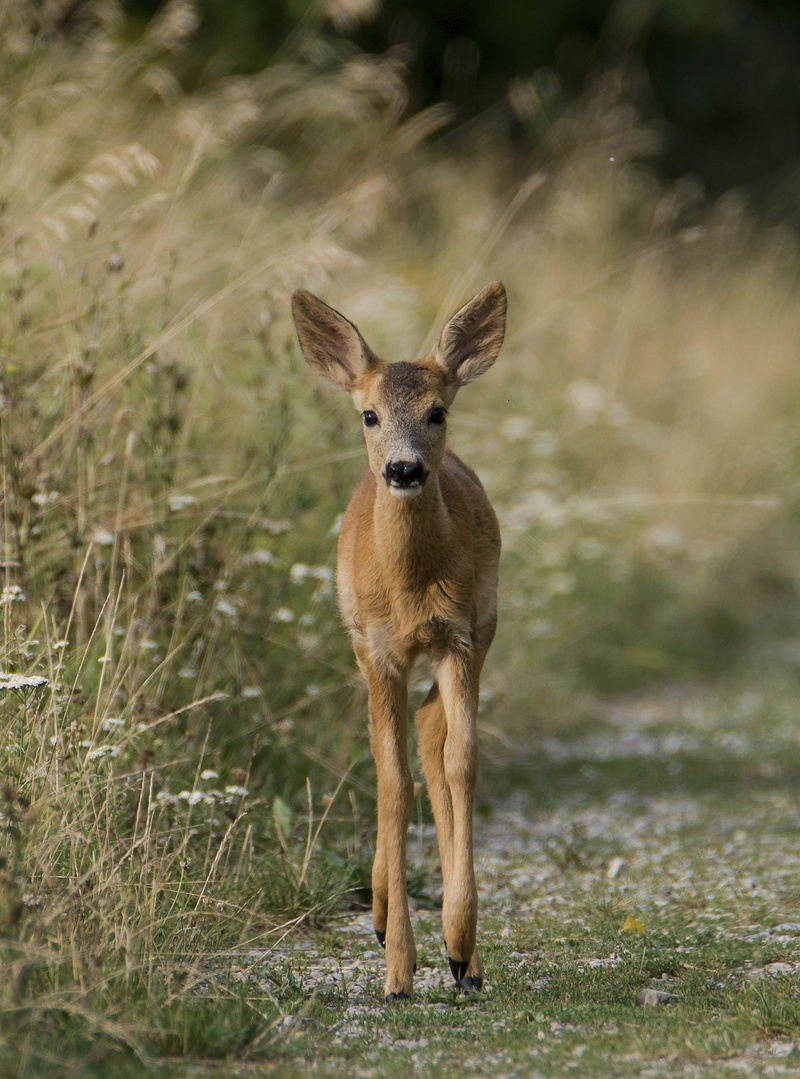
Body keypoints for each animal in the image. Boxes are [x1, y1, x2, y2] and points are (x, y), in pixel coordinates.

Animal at [291, 281, 506, 1002]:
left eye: (437, 411)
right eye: (369, 415)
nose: (405, 469)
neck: (411, 588)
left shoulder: (459, 638)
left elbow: (460, 762)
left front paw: (459, 943)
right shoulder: (380, 649)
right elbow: (391, 781)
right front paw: (397, 974)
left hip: (484, 629)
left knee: (433, 730)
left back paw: (464, 962)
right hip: (361, 644)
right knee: (395, 748)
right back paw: (385, 918)